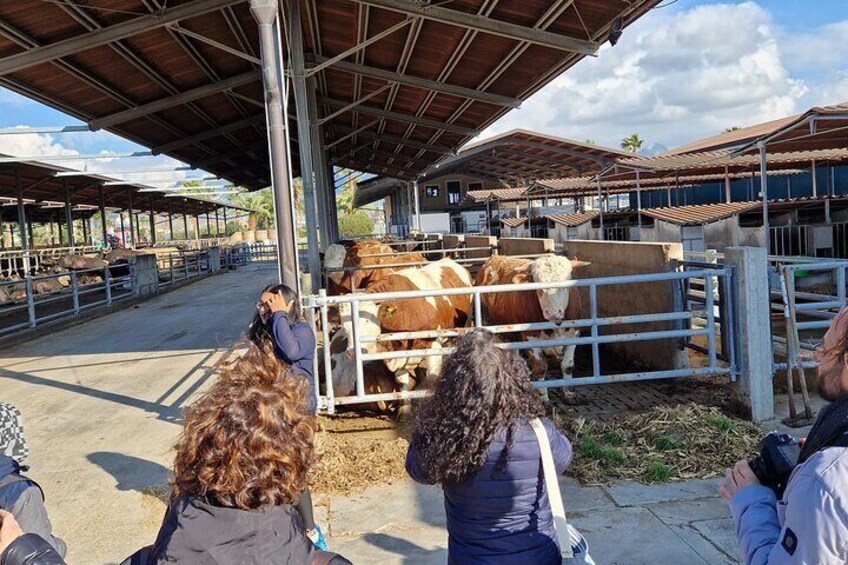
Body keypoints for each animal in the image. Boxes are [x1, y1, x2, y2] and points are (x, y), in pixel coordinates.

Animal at [476, 254, 588, 392]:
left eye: (565, 285)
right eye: (537, 286)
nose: (553, 313)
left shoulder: (574, 334)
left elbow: (567, 366)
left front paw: (569, 393)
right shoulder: (531, 338)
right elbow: (540, 369)